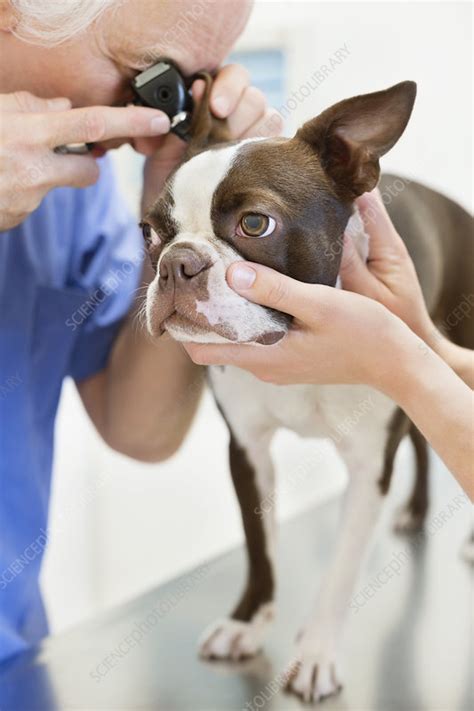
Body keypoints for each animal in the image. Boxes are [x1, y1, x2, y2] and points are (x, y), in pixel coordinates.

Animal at [142, 79, 474, 708]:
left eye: (255, 225)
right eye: (152, 233)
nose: (176, 263)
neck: (289, 341)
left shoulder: (368, 465)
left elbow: (342, 569)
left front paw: (317, 651)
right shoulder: (247, 449)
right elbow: (259, 545)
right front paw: (247, 622)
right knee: (421, 441)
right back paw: (417, 509)